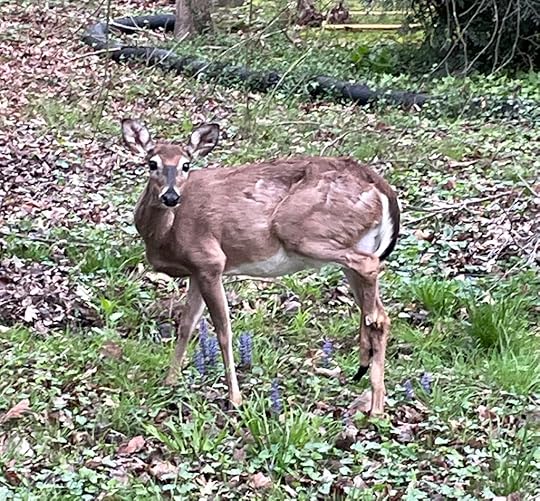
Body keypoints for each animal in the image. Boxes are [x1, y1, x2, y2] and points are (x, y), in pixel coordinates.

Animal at [120, 118, 400, 416]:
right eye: (152, 163)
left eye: (186, 164)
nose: (171, 196)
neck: (165, 235)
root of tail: (380, 185)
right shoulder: (197, 270)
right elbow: (186, 326)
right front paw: (169, 381)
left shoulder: (210, 260)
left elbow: (223, 331)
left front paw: (235, 398)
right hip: (353, 245)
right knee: (381, 314)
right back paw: (373, 397)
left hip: (303, 231)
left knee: (370, 277)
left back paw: (373, 397)